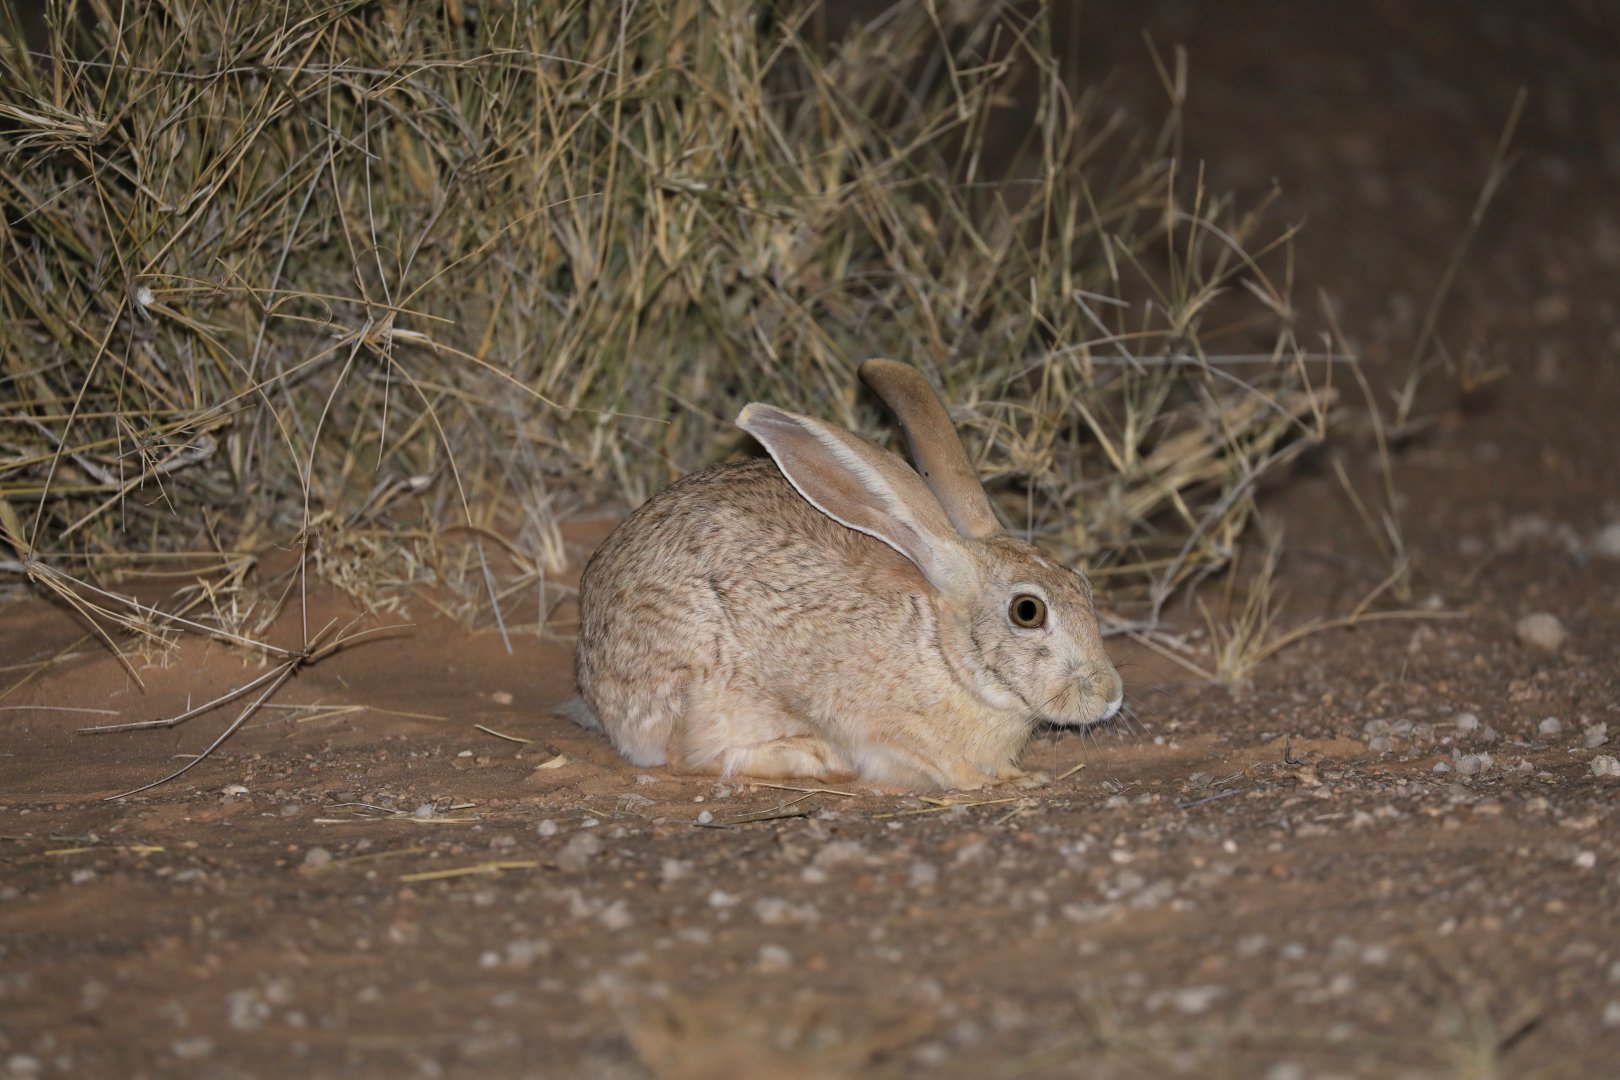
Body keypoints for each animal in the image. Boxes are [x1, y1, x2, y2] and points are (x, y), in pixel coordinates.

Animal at [571, 359, 1123, 790]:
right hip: (694, 682)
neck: (946, 656)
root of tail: (591, 672)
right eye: (1028, 611)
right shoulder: (885, 726)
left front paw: (1022, 776)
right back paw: (812, 758)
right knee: (686, 756)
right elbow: (942, 765)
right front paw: (987, 782)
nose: (1110, 696)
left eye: (1082, 584)